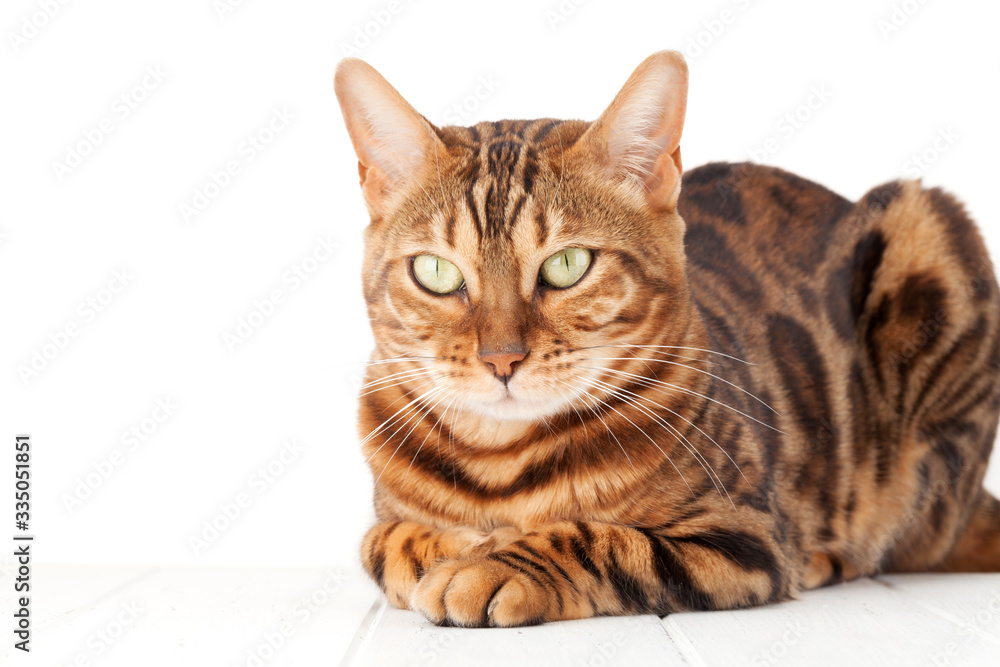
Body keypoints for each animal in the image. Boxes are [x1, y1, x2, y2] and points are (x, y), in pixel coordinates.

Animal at [334, 51, 1000, 628]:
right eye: (436, 272)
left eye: (568, 265)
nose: (502, 358)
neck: (500, 468)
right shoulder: (379, 518)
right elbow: (383, 541)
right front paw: (451, 547)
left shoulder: (744, 537)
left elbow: (602, 540)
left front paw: (493, 562)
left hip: (927, 234)